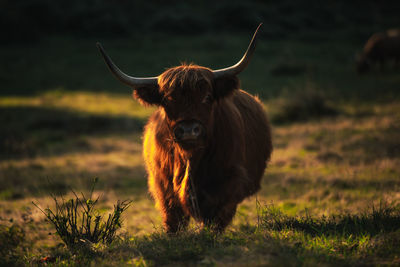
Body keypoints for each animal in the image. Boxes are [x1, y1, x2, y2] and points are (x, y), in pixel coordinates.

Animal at [96, 25, 272, 234]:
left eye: (207, 97)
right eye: (167, 100)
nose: (188, 130)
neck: (190, 159)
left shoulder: (230, 182)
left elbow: (216, 219)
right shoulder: (163, 188)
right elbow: (174, 221)